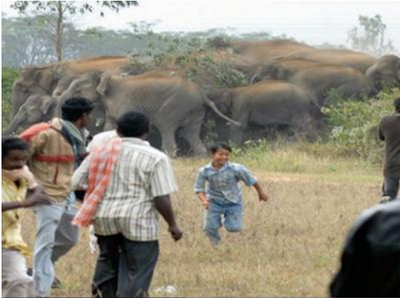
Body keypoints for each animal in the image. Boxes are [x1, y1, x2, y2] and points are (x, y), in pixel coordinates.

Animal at [54, 71, 239, 156]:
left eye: (77, 89)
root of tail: (203, 94)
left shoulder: (125, 102)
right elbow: (109, 127)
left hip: (175, 106)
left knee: (166, 127)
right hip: (194, 111)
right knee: (191, 134)